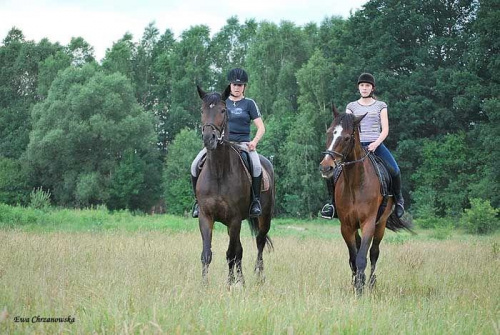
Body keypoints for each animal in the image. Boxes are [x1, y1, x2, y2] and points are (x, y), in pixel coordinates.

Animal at [195, 85, 276, 288]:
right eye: (202, 110)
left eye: (223, 111)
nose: (209, 138)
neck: (218, 172)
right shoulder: (206, 217)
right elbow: (207, 254)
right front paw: (204, 285)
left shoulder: (234, 219)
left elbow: (231, 253)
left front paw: (230, 284)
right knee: (240, 249)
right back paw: (242, 279)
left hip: (264, 217)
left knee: (259, 243)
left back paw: (259, 277)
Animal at [318, 106, 412, 296]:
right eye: (329, 132)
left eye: (347, 138)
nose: (326, 167)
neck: (355, 183)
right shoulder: (346, 226)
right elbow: (353, 257)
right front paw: (356, 284)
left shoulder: (368, 222)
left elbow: (362, 257)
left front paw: (361, 289)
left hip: (380, 224)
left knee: (374, 252)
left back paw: (372, 283)